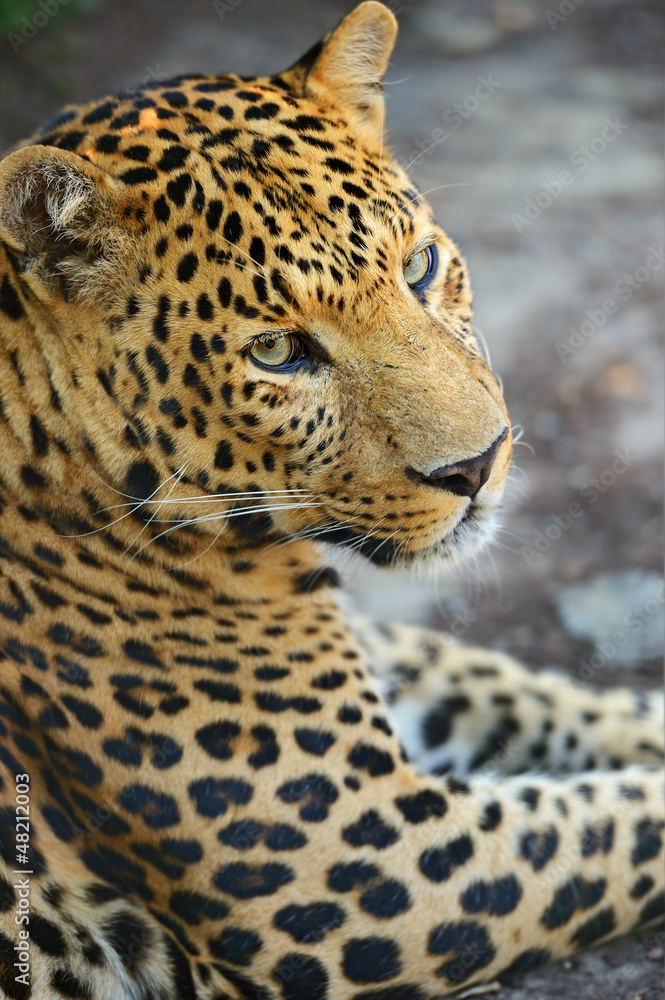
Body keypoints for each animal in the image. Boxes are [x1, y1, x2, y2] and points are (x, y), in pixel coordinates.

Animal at [0, 3, 662, 998]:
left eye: (419, 266)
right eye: (277, 352)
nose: (480, 465)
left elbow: (520, 687)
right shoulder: (385, 865)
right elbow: (612, 823)